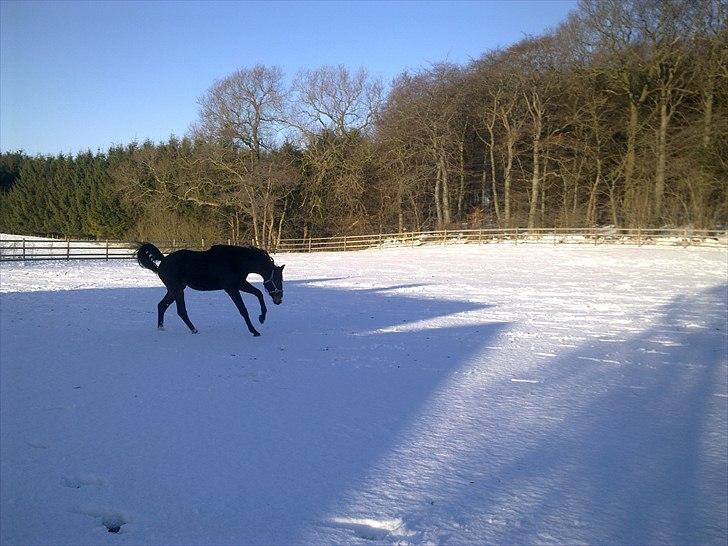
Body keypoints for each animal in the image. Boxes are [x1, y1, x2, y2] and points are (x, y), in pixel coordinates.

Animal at [136, 243, 284, 336]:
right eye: (277, 280)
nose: (279, 300)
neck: (237, 260)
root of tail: (164, 260)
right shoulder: (231, 288)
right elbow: (243, 310)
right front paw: (254, 331)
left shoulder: (241, 284)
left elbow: (259, 294)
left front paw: (262, 318)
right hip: (177, 290)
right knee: (181, 311)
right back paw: (194, 330)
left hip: (174, 290)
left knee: (162, 305)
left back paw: (161, 328)